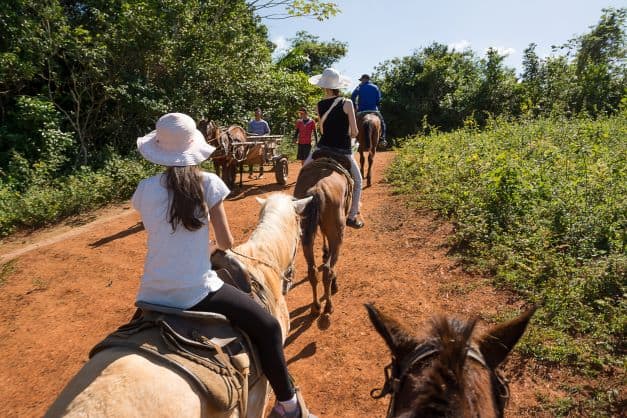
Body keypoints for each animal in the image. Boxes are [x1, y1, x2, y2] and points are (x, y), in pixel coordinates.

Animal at [294, 157, 354, 320]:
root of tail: (317, 189)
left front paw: (325, 252)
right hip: (338, 232)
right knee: (328, 270)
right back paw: (328, 305)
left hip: (305, 231)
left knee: (312, 271)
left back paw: (315, 307)